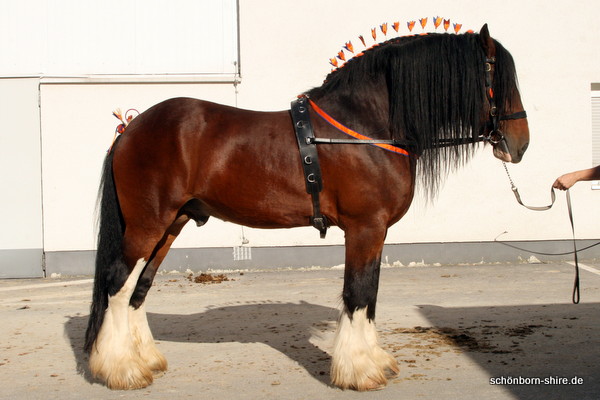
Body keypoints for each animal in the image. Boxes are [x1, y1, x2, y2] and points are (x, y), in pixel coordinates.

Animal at [85, 25, 528, 390]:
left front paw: (374, 361)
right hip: (147, 224)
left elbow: (369, 293)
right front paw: (359, 371)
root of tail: (130, 129)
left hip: (169, 225)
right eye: (497, 77)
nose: (520, 143)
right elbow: (357, 292)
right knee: (117, 283)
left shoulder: (377, 231)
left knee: (138, 288)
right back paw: (121, 370)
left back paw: (145, 360)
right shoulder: (365, 227)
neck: (365, 128)